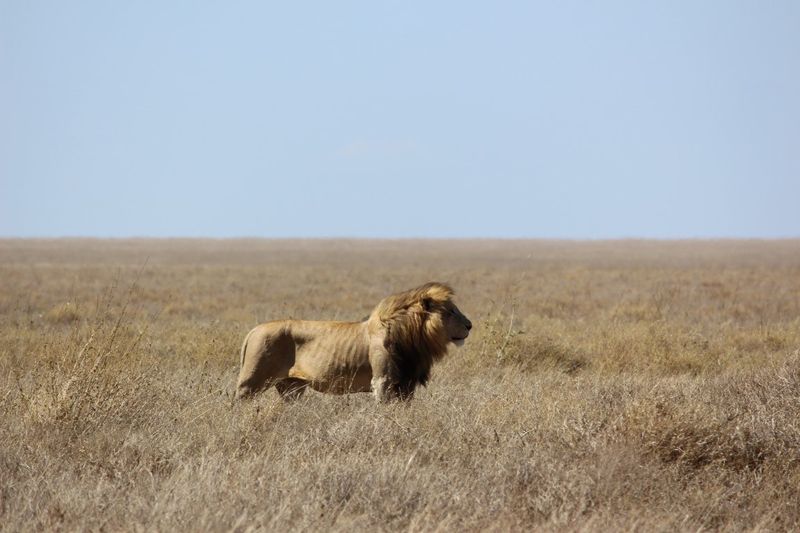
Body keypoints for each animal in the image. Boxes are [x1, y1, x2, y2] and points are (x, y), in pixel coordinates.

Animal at [235, 282, 472, 402]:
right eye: (451, 311)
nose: (470, 325)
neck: (414, 339)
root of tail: (255, 329)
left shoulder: (406, 384)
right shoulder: (383, 381)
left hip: (292, 387)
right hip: (251, 382)